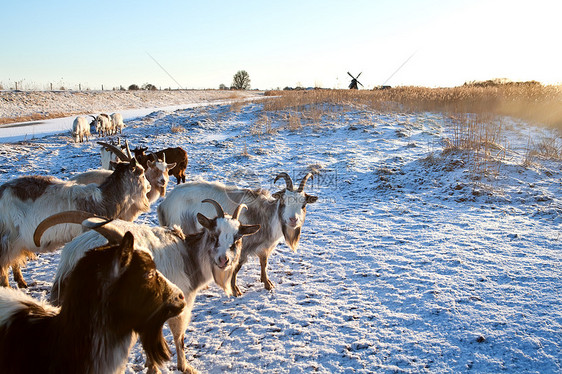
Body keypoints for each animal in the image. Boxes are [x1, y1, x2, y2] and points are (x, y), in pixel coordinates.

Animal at [37, 202, 260, 374]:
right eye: (214, 235)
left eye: (237, 238)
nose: (223, 260)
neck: (188, 255)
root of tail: (72, 256)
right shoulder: (179, 302)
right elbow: (179, 336)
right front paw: (184, 367)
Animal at [158, 171, 318, 296]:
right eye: (283, 201)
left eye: (303, 204)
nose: (293, 220)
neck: (265, 215)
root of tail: (164, 204)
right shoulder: (241, 246)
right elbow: (235, 268)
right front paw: (235, 290)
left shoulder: (264, 246)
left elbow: (263, 263)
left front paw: (267, 283)